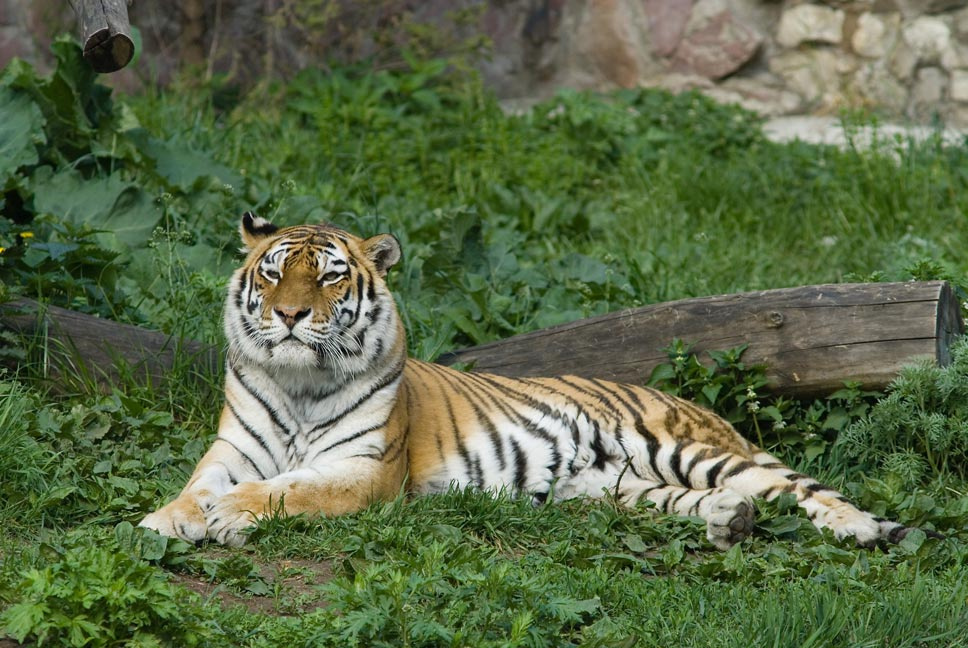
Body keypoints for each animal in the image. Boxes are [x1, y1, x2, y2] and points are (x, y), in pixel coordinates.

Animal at [140, 212, 921, 549]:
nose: (292, 314)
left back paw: (862, 530)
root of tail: (699, 405)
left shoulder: (365, 470)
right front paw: (165, 521)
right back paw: (729, 520)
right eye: (273, 273)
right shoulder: (233, 451)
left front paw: (230, 513)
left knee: (799, 489)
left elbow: (292, 489)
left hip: (684, 449)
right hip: (614, 488)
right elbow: (197, 485)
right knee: (705, 503)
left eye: (330, 276)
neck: (300, 384)